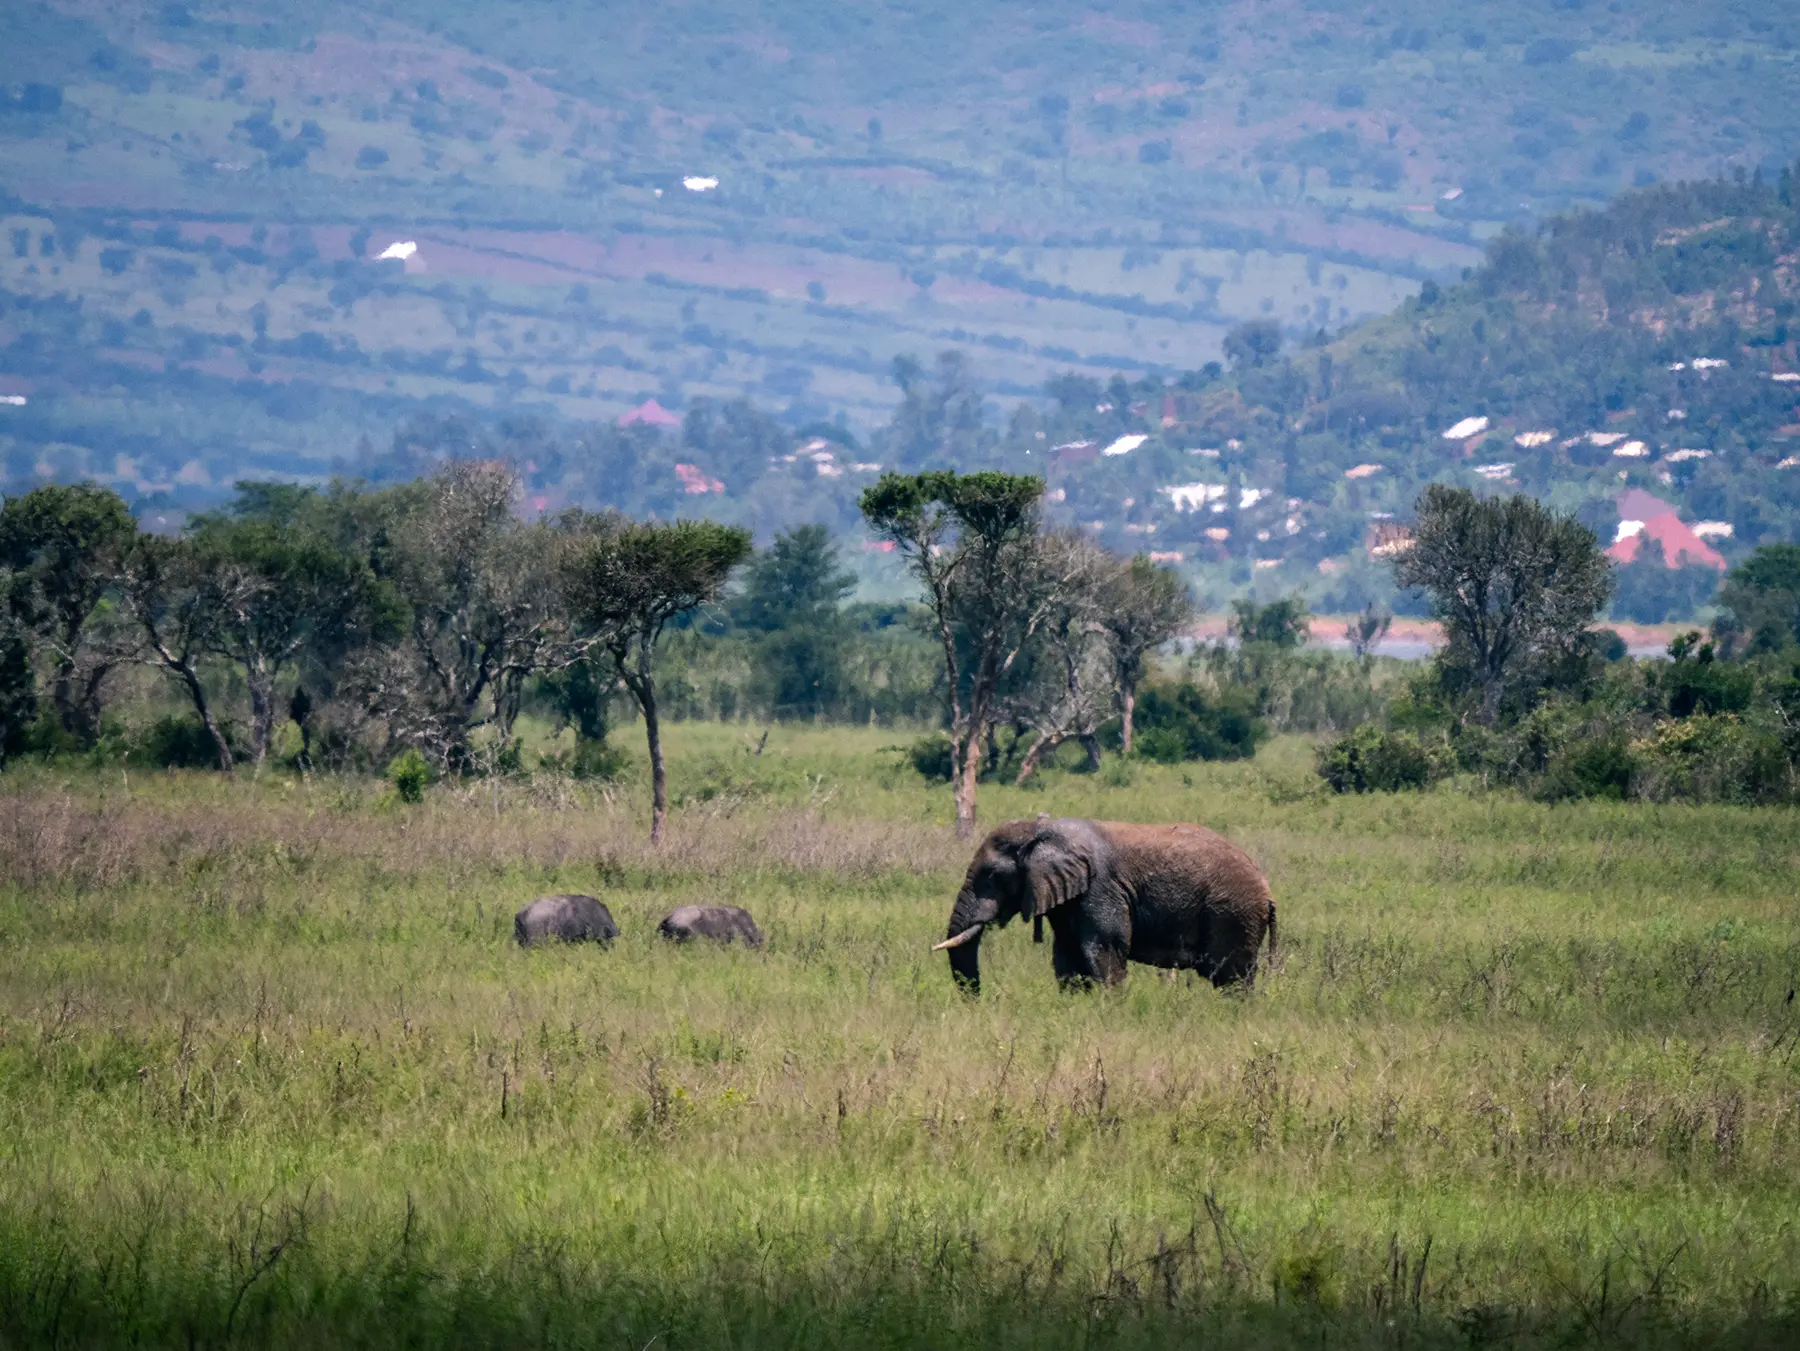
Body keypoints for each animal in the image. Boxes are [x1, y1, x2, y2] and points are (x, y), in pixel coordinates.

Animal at [933, 816, 1275, 995]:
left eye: (991, 875)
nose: (980, 1000)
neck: (1042, 828)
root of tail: (1267, 889)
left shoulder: (1100, 889)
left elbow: (1104, 949)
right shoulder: (1068, 899)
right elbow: (1067, 957)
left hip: (1232, 913)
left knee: (1230, 978)